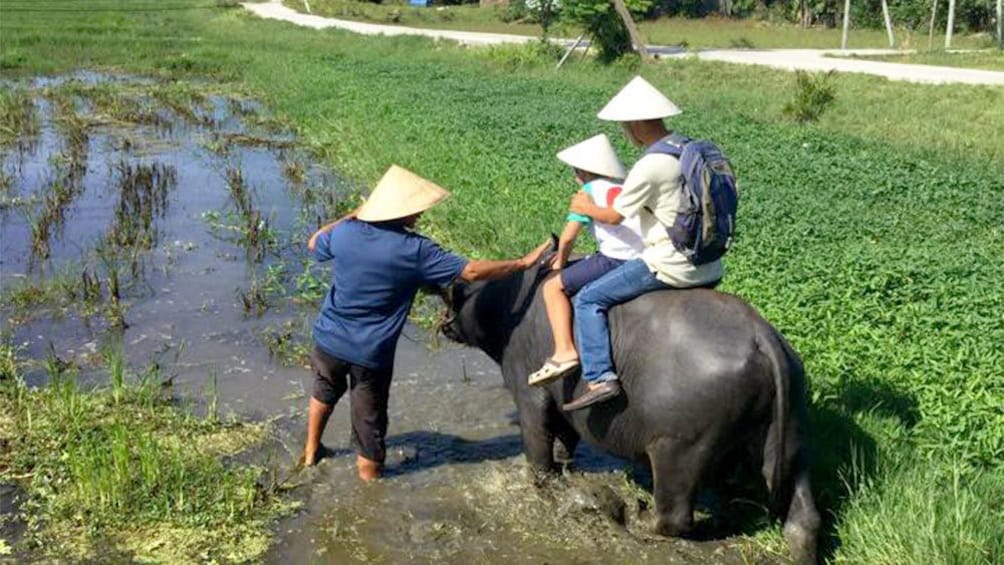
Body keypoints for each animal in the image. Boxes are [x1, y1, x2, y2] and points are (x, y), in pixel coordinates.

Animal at [443, 253, 819, 561]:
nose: (445, 321)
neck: (509, 302)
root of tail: (760, 337)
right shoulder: (567, 405)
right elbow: (566, 440)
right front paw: (566, 469)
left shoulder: (529, 392)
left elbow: (538, 446)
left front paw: (540, 479)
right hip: (791, 439)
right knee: (805, 516)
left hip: (680, 449)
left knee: (674, 515)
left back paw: (640, 517)